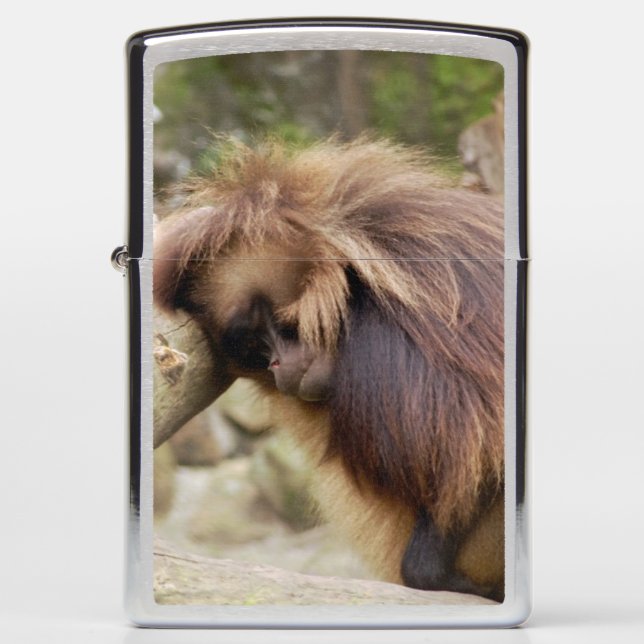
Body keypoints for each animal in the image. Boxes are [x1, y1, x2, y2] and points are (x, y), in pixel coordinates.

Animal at [153, 137, 506, 601]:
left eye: (279, 326)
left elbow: (483, 456)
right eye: (255, 343)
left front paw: (437, 576)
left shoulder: (382, 351)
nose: (278, 364)